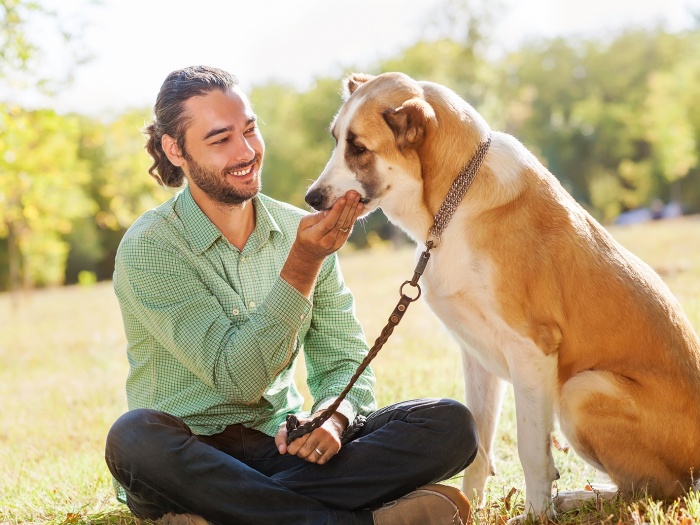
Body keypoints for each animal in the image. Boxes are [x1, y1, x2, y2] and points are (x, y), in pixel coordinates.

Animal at [304, 71, 700, 516]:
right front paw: (472, 507)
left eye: (358, 147)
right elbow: (479, 443)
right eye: (336, 139)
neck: (452, 204)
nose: (311, 199)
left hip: (581, 390)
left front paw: (536, 516)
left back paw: (576, 499)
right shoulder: (477, 356)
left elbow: (532, 451)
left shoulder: (532, 349)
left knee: (657, 489)